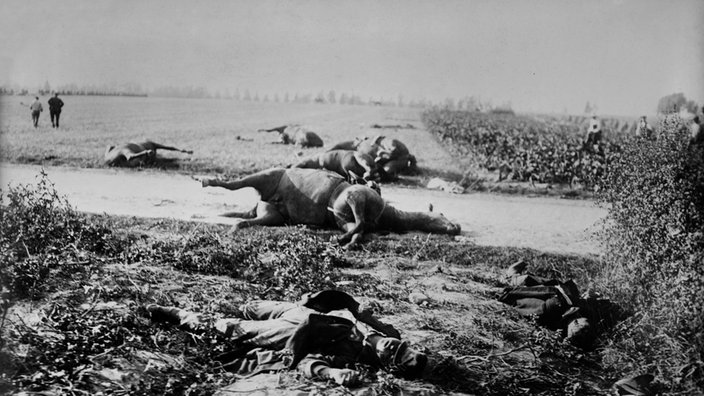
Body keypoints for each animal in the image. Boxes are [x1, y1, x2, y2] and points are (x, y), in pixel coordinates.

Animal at [199, 168, 462, 248]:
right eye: (441, 213)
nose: (457, 227)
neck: (387, 213)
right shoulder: (355, 196)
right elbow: (359, 223)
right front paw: (342, 239)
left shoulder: (345, 218)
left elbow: (358, 229)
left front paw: (346, 241)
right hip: (268, 175)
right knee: (233, 184)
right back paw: (207, 180)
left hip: (272, 216)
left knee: (246, 220)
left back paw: (235, 228)